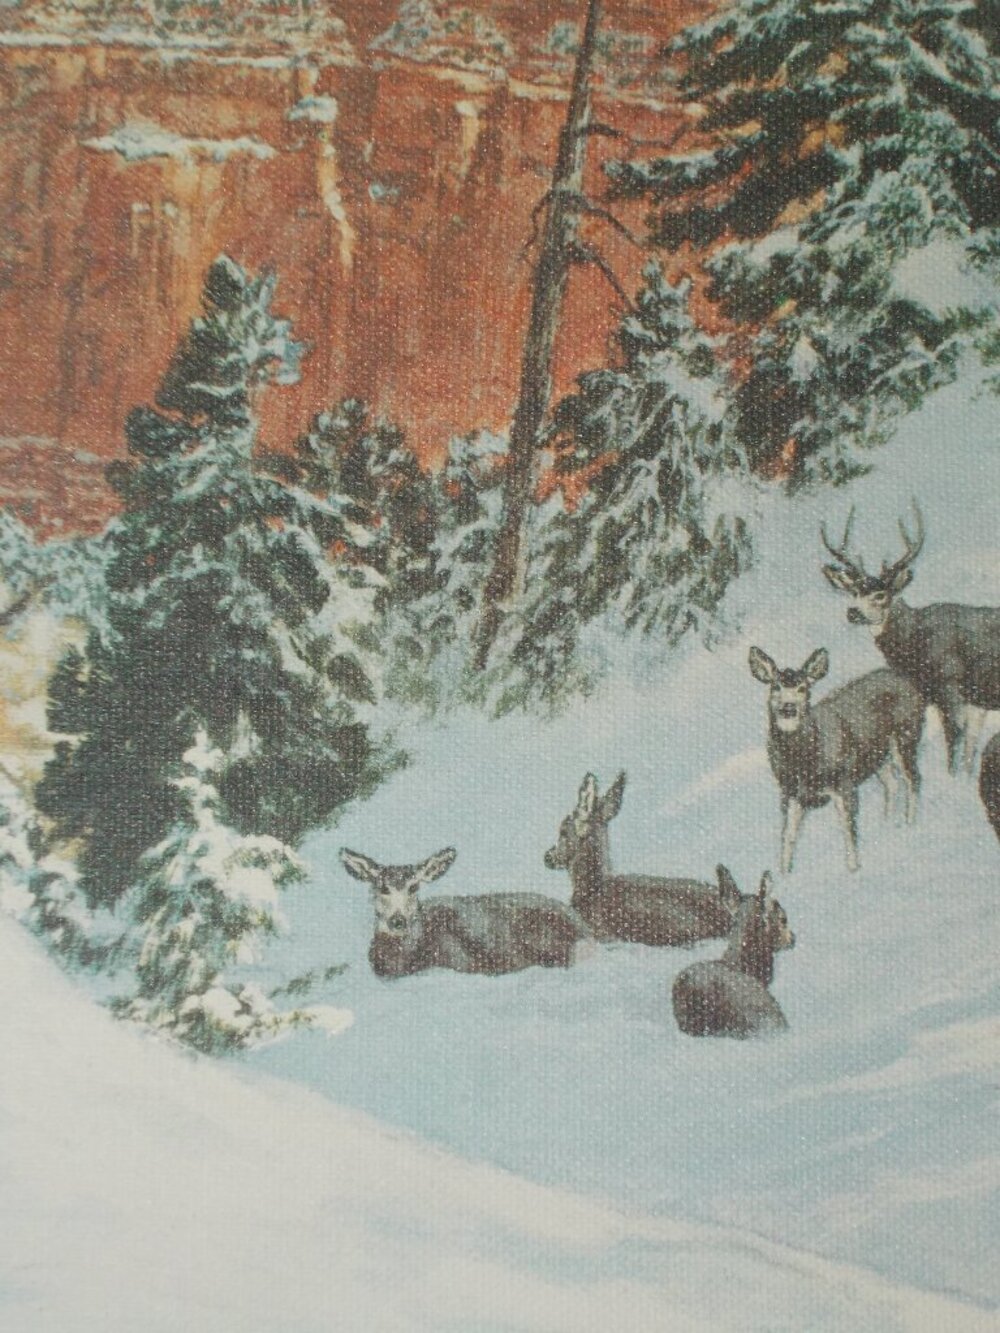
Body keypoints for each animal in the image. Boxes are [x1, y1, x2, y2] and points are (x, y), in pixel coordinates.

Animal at [749, 646, 924, 873]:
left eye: (803, 688)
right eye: (775, 686)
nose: (788, 708)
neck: (804, 762)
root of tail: (907, 680)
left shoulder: (844, 782)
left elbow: (849, 828)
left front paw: (854, 869)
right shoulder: (790, 791)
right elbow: (788, 835)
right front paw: (784, 874)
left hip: (905, 736)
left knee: (913, 779)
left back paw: (910, 825)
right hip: (876, 756)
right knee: (892, 783)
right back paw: (886, 824)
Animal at [821, 504, 1000, 774]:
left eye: (881, 594)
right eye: (854, 592)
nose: (853, 612)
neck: (915, 639)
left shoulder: (949, 685)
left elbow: (954, 747)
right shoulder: (973, 701)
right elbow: (969, 753)